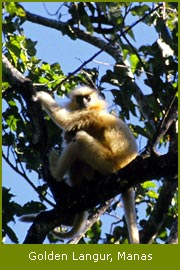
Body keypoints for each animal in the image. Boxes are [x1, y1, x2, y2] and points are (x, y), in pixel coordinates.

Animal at [32, 87, 139, 245]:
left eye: (87, 98)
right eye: (79, 99)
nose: (84, 102)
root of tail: (125, 166)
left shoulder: (87, 115)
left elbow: (65, 120)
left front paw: (41, 95)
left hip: (107, 163)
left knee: (80, 140)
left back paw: (55, 171)